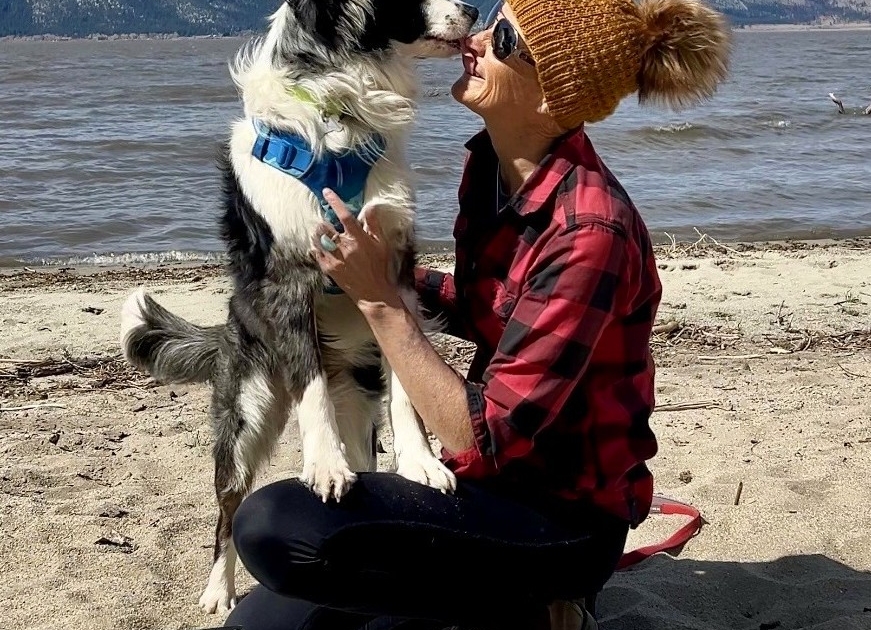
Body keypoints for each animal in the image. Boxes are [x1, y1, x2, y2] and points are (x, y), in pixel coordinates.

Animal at [119, 0, 478, 614]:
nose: (476, 10)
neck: (339, 110)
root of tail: (226, 329)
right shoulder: (290, 278)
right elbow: (310, 391)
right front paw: (324, 465)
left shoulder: (395, 272)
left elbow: (408, 388)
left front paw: (421, 463)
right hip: (245, 414)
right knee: (228, 509)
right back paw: (218, 588)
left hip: (356, 394)